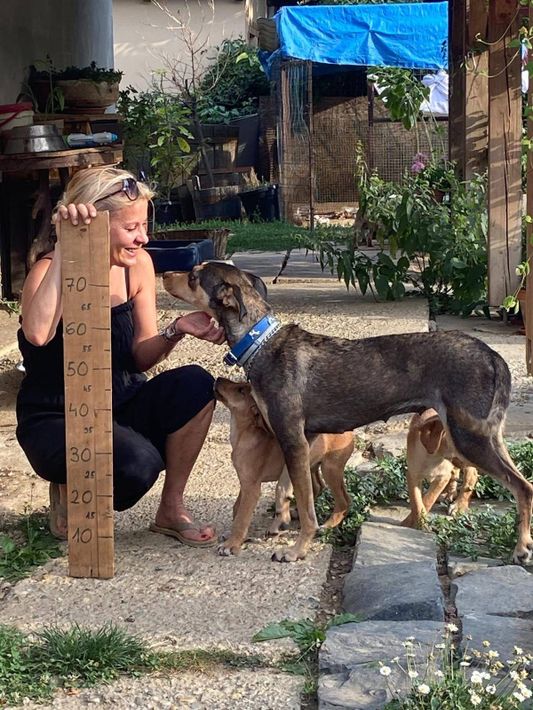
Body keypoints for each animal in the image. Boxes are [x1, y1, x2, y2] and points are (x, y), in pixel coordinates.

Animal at [214, 377, 354, 555]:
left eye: (240, 390)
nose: (218, 379)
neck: (245, 434)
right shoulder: (244, 483)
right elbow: (236, 508)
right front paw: (233, 536)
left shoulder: (252, 487)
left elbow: (241, 517)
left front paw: (232, 544)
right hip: (309, 465)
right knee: (317, 488)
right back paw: (295, 514)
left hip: (330, 469)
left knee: (343, 500)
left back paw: (327, 525)